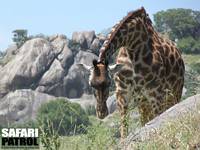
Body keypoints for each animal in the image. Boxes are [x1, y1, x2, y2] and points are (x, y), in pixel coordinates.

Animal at [79, 6, 185, 138]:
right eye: (91, 84)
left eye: (108, 84)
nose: (101, 113)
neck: (132, 46)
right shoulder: (123, 92)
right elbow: (124, 126)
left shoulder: (155, 92)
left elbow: (157, 119)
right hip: (144, 102)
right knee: (145, 119)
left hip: (174, 93)